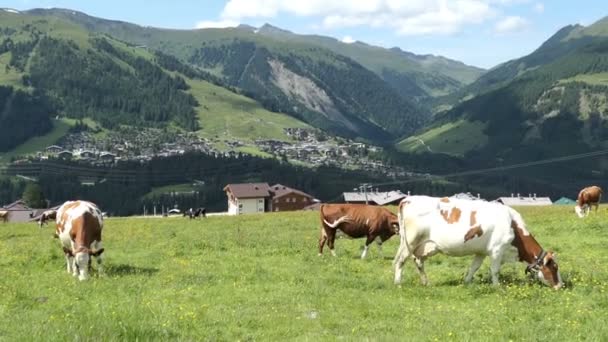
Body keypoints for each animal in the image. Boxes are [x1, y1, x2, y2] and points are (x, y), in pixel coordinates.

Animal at [392, 196, 564, 290]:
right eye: (554, 268)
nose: (561, 285)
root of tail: (408, 199)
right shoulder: (497, 250)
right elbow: (495, 270)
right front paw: (497, 287)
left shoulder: (481, 252)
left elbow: (473, 267)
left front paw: (467, 282)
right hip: (410, 241)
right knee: (400, 261)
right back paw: (398, 283)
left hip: (422, 246)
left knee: (418, 261)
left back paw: (426, 282)